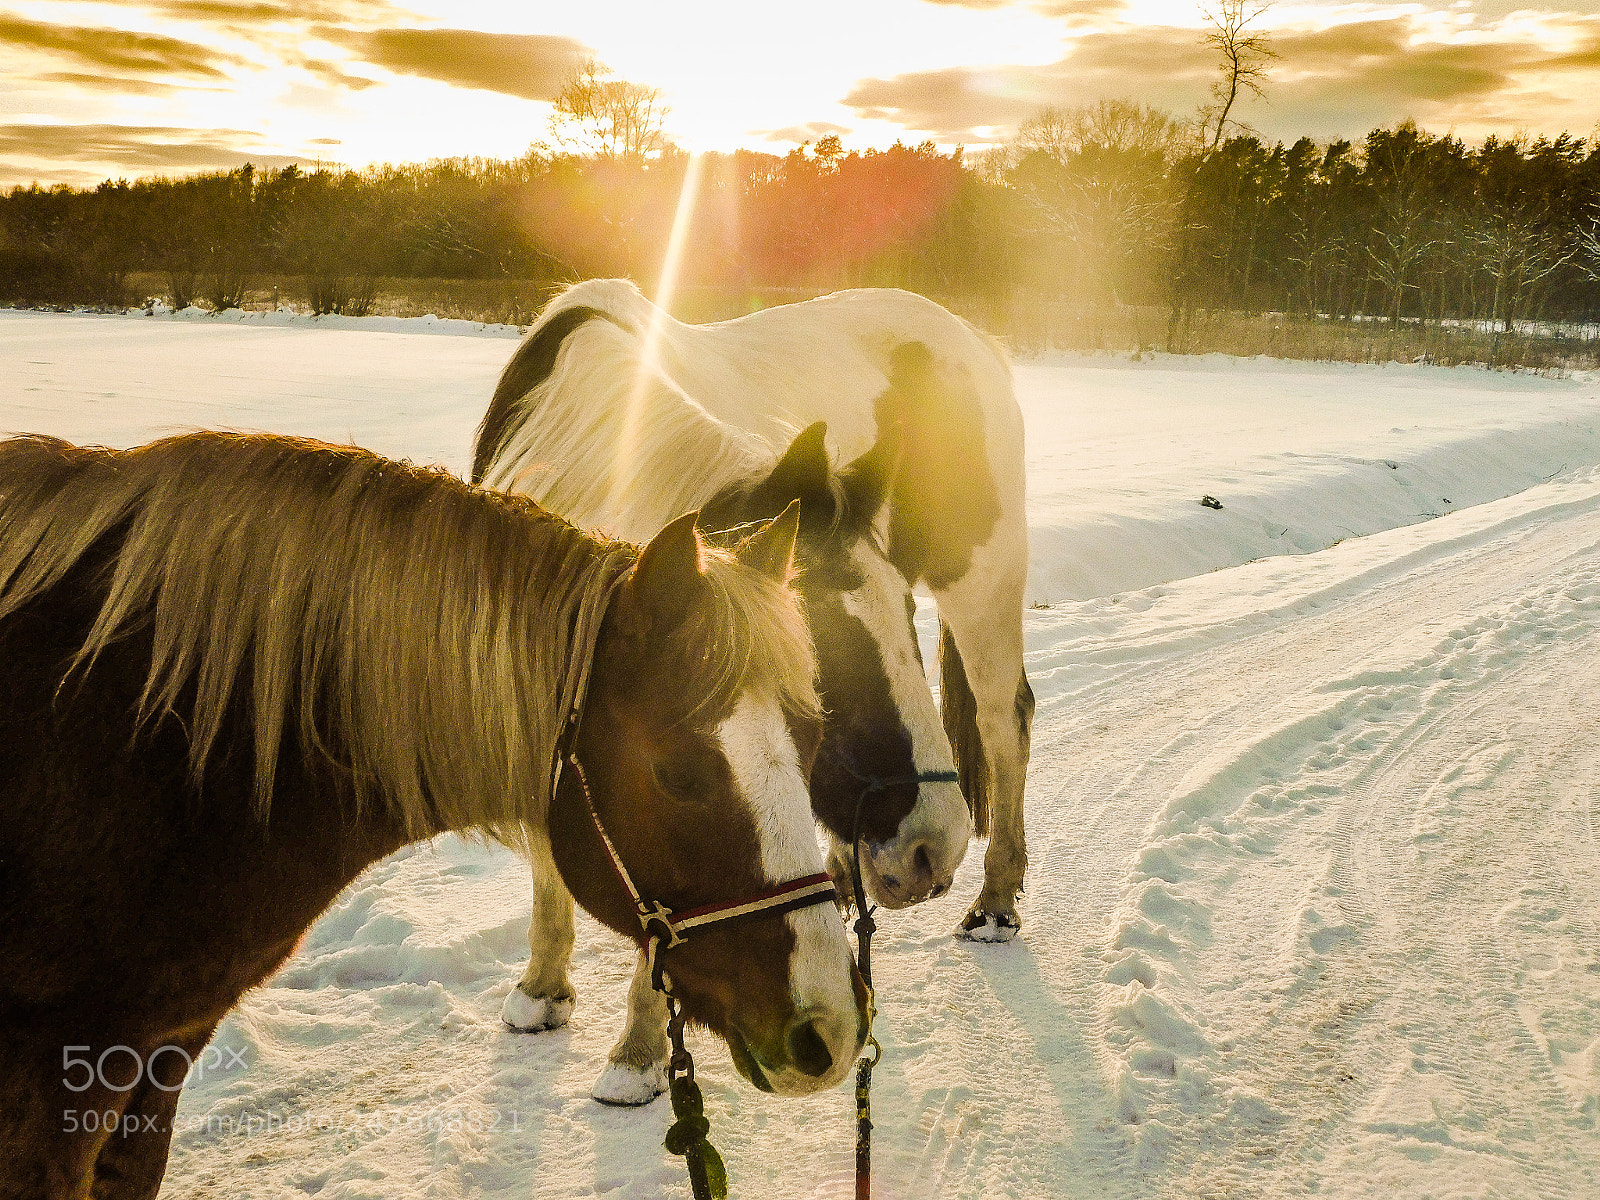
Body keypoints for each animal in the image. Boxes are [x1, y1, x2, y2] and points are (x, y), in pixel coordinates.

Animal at [474, 280, 1032, 1104]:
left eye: (905, 612)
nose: (934, 845)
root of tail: (973, 339)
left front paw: (638, 1052)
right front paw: (542, 990)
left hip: (983, 586)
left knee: (1005, 724)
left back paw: (994, 904)